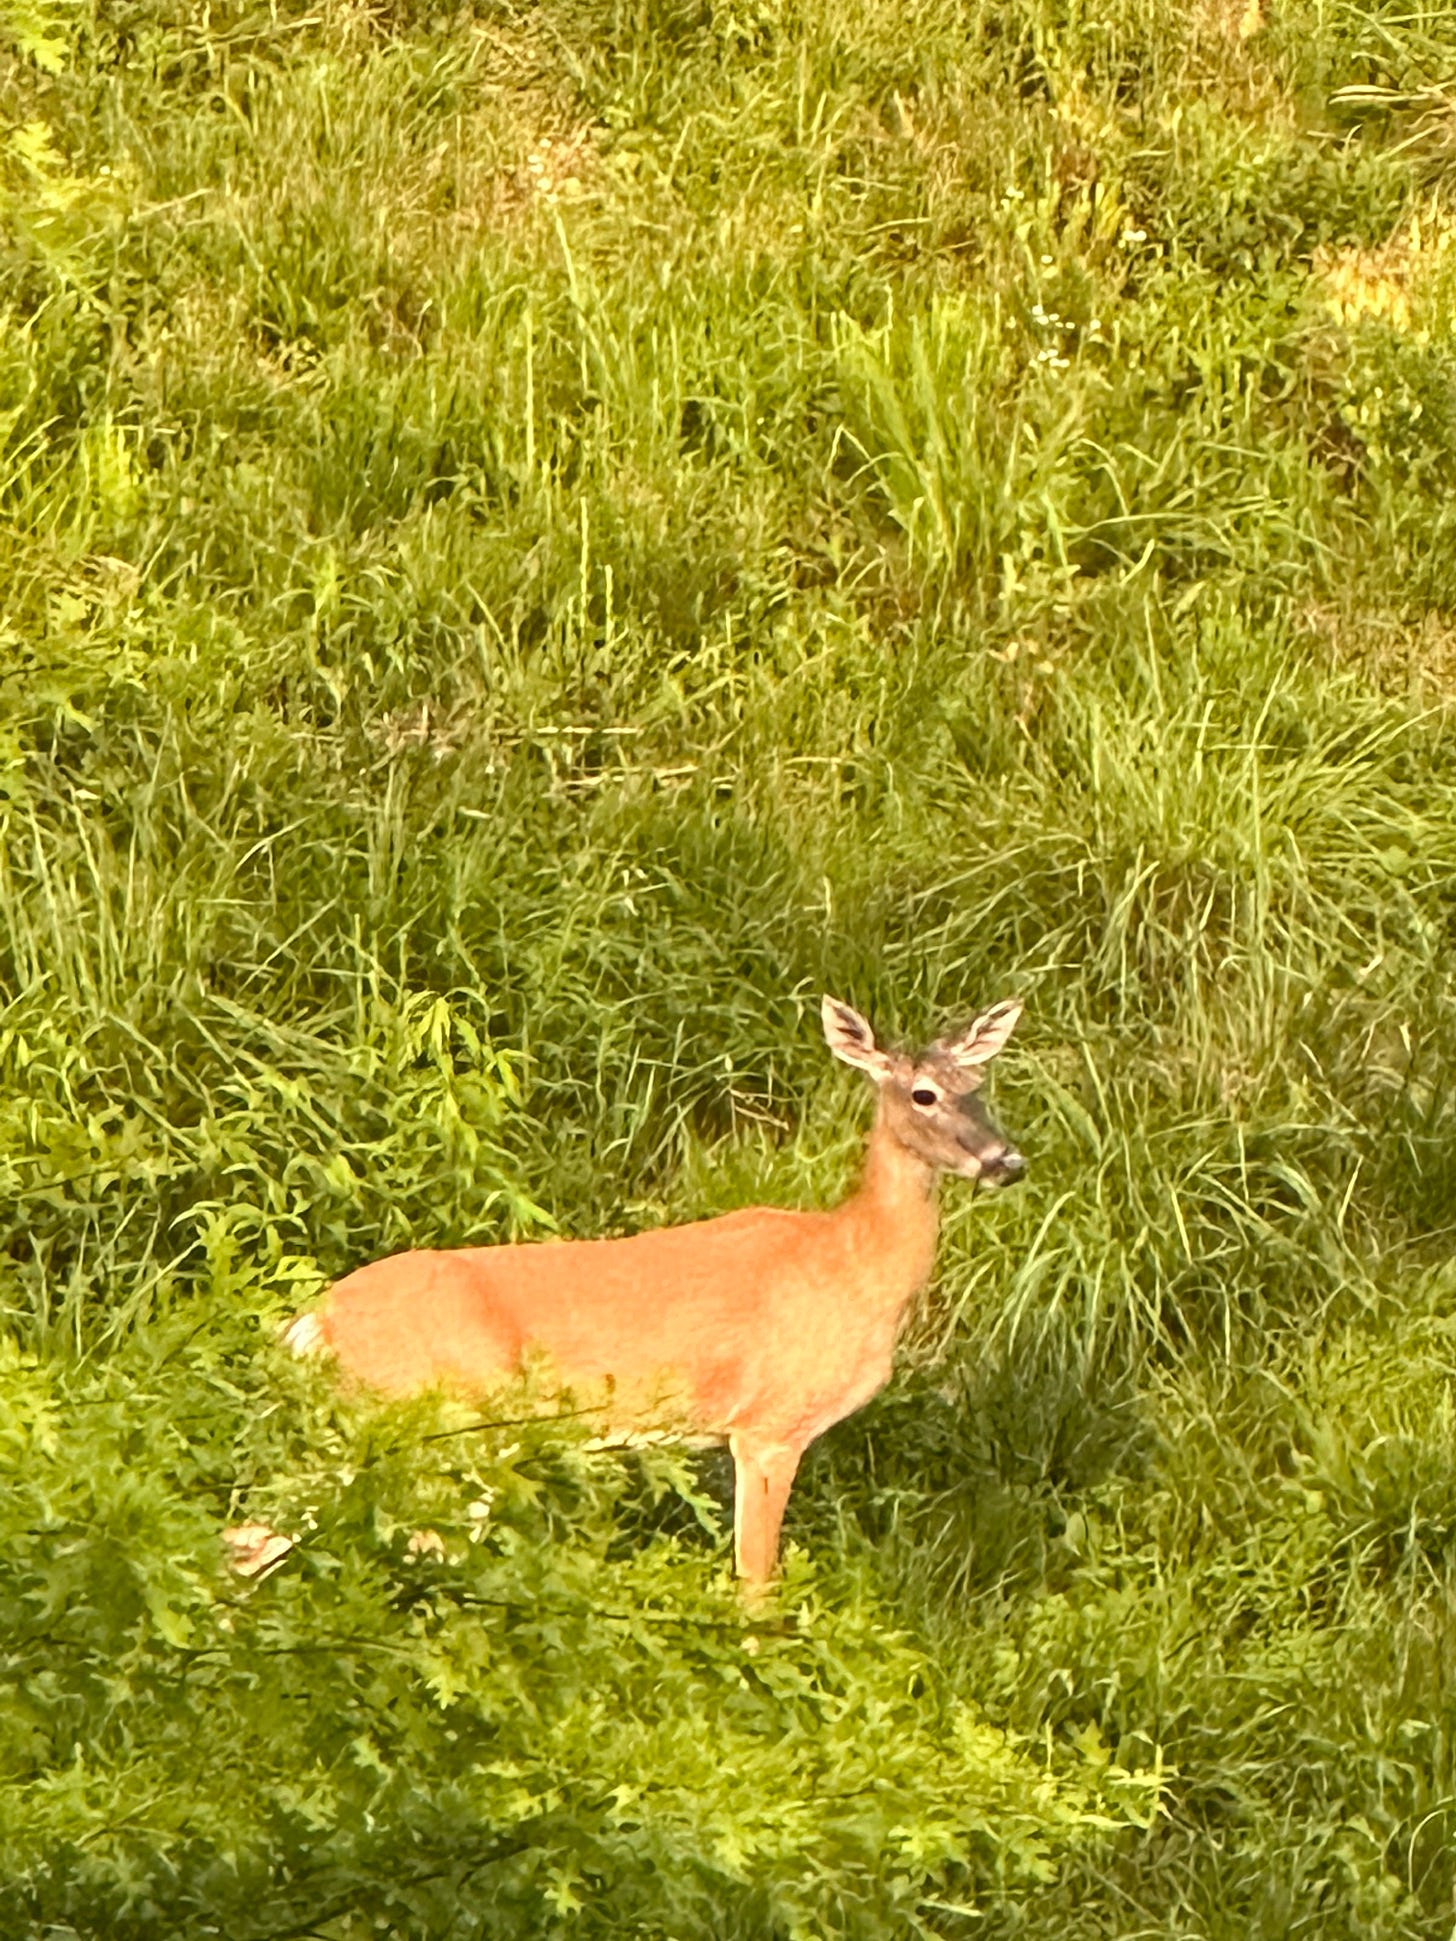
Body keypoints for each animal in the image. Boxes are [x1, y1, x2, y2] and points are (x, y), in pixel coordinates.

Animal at [282, 994, 1025, 1586]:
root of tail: (317, 1320)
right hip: (441, 1420)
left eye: (982, 1084)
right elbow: (757, 1583)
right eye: (924, 1094)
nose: (1007, 1161)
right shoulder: (769, 1425)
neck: (853, 1265)